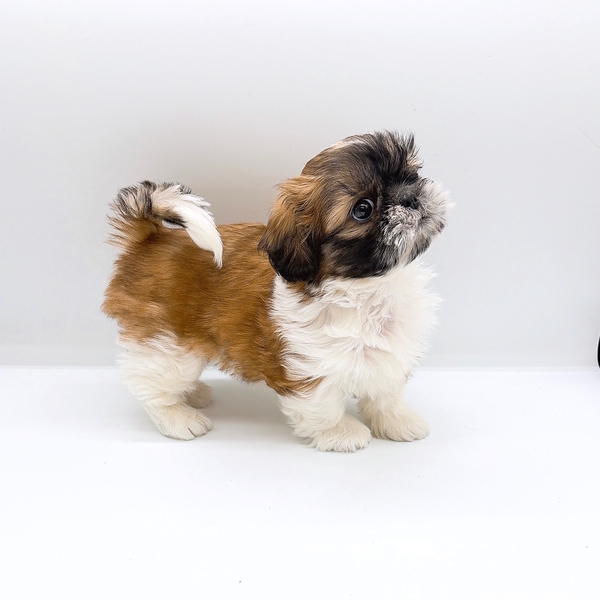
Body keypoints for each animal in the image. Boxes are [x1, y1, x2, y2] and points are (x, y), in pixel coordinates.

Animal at [102, 131, 449, 451]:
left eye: (410, 174)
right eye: (363, 209)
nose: (411, 197)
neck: (368, 288)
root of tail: (151, 238)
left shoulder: (391, 354)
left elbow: (386, 393)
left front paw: (397, 421)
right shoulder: (308, 367)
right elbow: (322, 404)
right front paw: (340, 433)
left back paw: (193, 394)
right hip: (168, 344)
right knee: (149, 383)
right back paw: (178, 417)